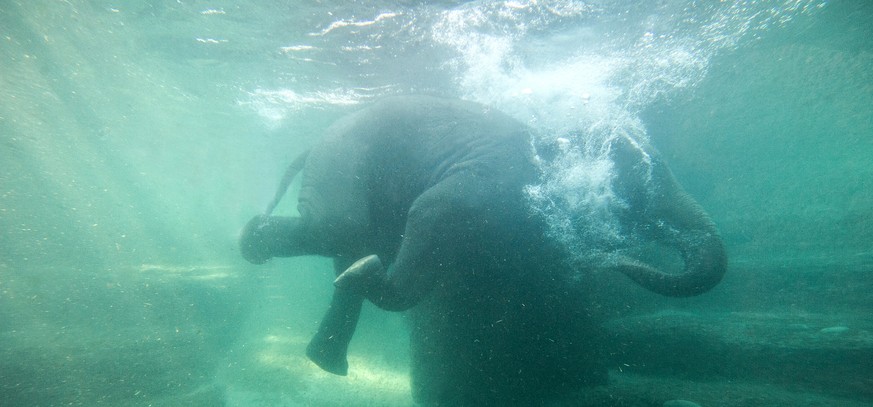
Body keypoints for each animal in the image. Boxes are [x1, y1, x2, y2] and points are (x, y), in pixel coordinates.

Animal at [237, 95, 724, 404]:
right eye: (643, 186)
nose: (614, 259)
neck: (551, 141)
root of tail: (310, 147)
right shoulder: (494, 180)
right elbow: (431, 206)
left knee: (352, 244)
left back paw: (330, 347)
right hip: (342, 160)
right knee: (338, 229)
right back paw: (254, 243)